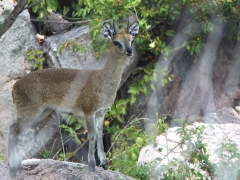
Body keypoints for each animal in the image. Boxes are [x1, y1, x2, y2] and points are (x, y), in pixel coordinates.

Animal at [8, 21, 140, 177]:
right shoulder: (89, 111)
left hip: (42, 112)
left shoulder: (101, 113)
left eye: (131, 40)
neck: (102, 81)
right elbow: (92, 136)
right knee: (13, 130)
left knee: (13, 128)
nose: (129, 51)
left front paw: (104, 164)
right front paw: (91, 165)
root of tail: (14, 87)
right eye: (116, 42)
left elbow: (100, 137)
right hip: (30, 109)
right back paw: (12, 167)